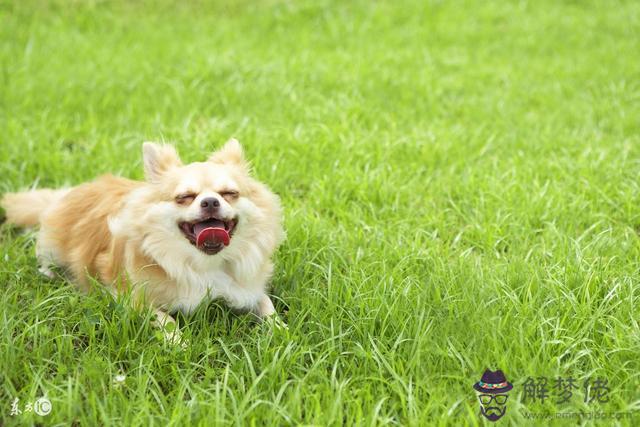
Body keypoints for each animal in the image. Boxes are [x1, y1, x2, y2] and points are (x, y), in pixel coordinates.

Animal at [0, 140, 284, 344]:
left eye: (229, 194)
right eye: (184, 197)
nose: (211, 201)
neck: (204, 262)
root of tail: (71, 192)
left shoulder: (248, 290)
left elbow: (267, 305)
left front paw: (280, 330)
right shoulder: (131, 298)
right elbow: (165, 318)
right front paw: (179, 343)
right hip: (52, 244)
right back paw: (49, 273)